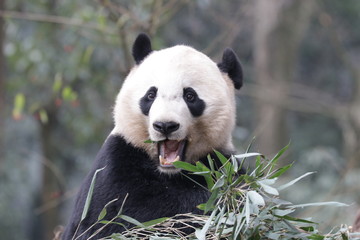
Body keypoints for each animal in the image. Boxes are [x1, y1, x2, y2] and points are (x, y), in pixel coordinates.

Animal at [62, 33, 243, 240]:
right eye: (150, 94)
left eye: (190, 96)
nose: (165, 125)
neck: (170, 172)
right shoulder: (117, 163)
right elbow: (126, 217)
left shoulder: (220, 161)